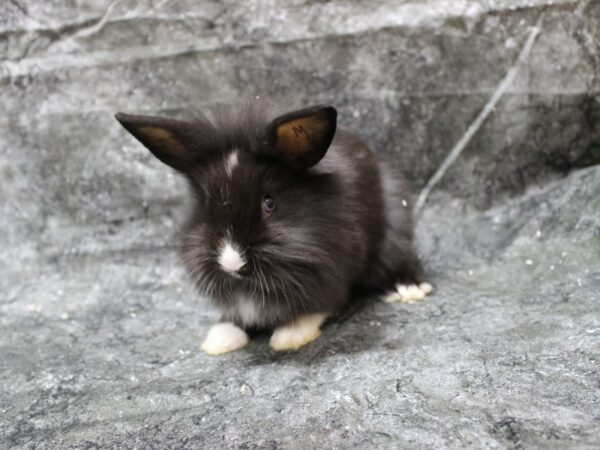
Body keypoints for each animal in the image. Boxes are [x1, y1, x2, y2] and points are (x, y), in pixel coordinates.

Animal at [113, 101, 432, 356]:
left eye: (270, 202)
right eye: (205, 203)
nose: (232, 263)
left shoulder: (330, 272)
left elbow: (320, 305)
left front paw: (290, 337)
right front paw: (220, 338)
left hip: (394, 227)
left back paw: (409, 288)